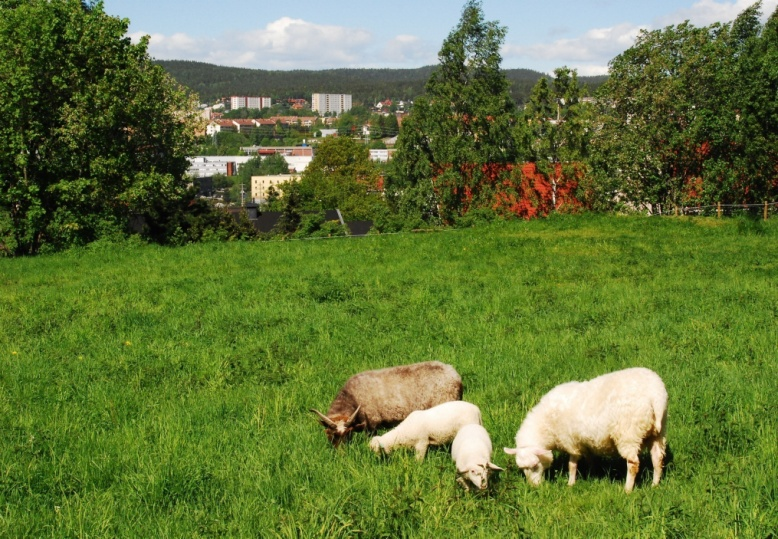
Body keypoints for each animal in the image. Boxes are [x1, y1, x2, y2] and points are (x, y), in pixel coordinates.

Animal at [310, 362, 460, 448]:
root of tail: (456, 376)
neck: (351, 398)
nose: (341, 455)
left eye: (348, 433)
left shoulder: (371, 424)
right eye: (330, 434)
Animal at [504, 368, 668, 494]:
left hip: (628, 434)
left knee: (633, 464)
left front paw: (570, 483)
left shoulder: (570, 441)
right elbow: (590, 459)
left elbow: (572, 464)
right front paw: (593, 474)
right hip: (657, 433)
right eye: (523, 468)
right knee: (657, 458)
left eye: (535, 466)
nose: (534, 487)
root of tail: (656, 396)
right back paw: (655, 485)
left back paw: (627, 490)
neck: (546, 426)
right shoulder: (586, 442)